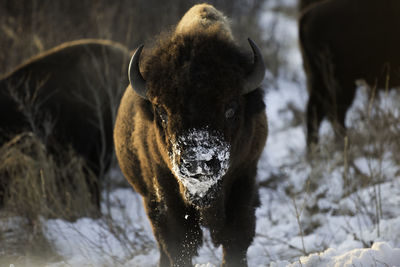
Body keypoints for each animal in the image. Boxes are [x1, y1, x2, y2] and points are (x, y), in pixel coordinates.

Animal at [114, 3, 268, 267]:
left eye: (231, 108)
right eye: (162, 112)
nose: (198, 161)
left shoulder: (245, 175)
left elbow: (236, 237)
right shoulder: (165, 188)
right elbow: (180, 243)